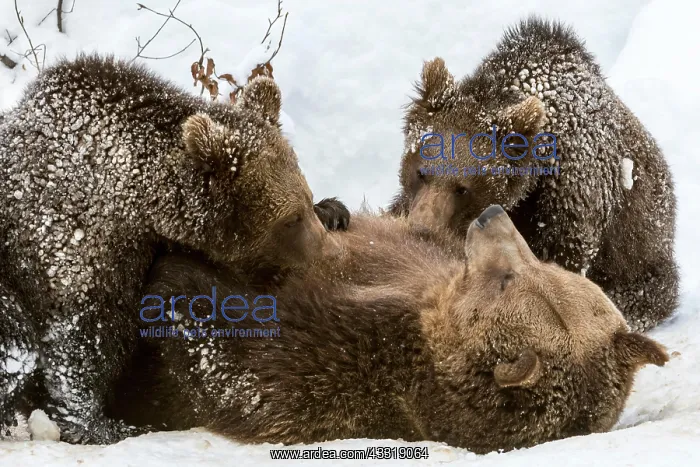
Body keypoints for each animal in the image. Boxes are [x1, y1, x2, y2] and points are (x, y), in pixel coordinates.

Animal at [0, 53, 349, 443]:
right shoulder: (72, 237)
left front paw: (334, 210)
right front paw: (103, 425)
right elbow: (81, 338)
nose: (332, 255)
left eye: (305, 199)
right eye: (290, 219)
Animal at [117, 204, 669, 454]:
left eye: (510, 276)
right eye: (545, 264)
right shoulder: (404, 258)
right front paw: (330, 209)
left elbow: (238, 372)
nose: (491, 215)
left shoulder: (341, 368)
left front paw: (173, 281)